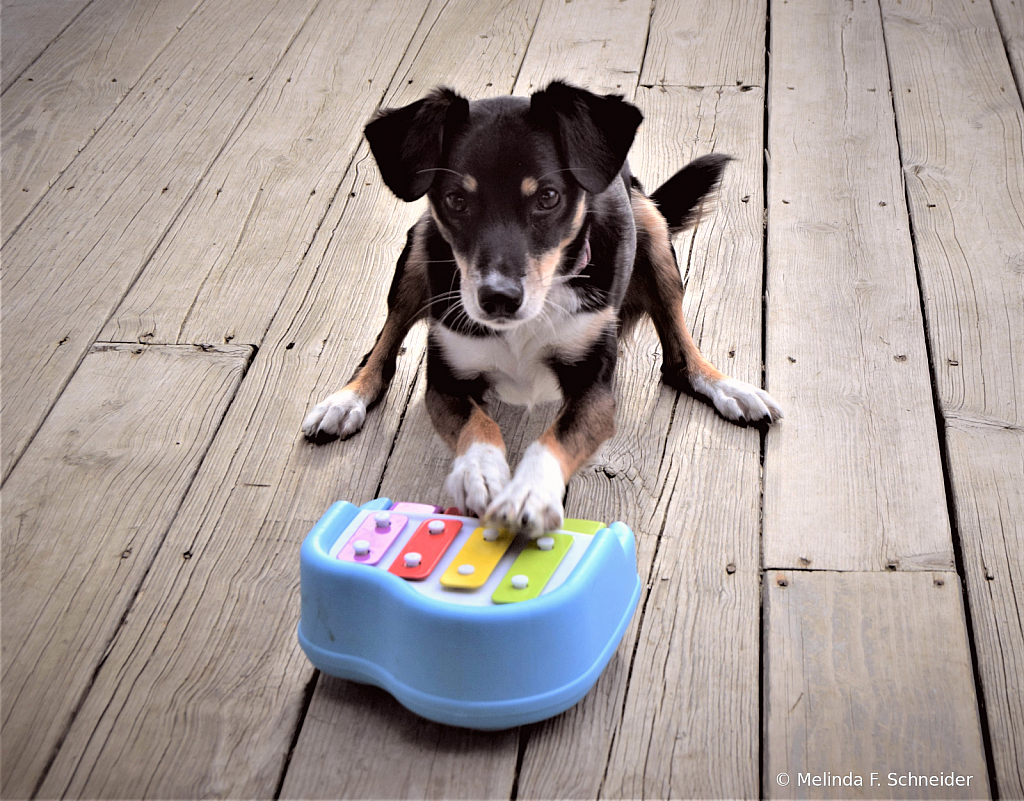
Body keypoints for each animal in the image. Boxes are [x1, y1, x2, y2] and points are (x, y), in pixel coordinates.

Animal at [303, 81, 782, 540]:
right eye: (456, 200)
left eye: (548, 197)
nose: (498, 297)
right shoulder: (445, 381)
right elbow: (477, 424)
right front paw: (479, 471)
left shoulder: (594, 387)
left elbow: (555, 437)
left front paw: (529, 492)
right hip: (420, 247)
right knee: (385, 341)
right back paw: (346, 399)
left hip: (652, 226)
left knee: (680, 359)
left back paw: (728, 387)